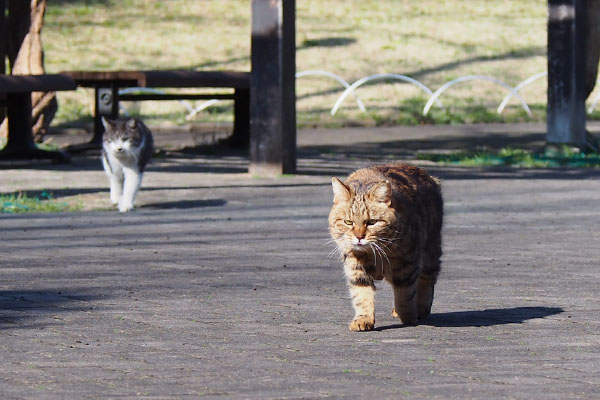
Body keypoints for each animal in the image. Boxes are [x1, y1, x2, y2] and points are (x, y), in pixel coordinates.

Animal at [328, 162, 440, 332]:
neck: (372, 253)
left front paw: (407, 316)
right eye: (348, 222)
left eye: (372, 222)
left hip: (430, 252)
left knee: (427, 280)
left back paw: (420, 308)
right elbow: (361, 295)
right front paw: (363, 319)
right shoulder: (355, 265)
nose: (359, 237)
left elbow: (404, 294)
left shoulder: (407, 264)